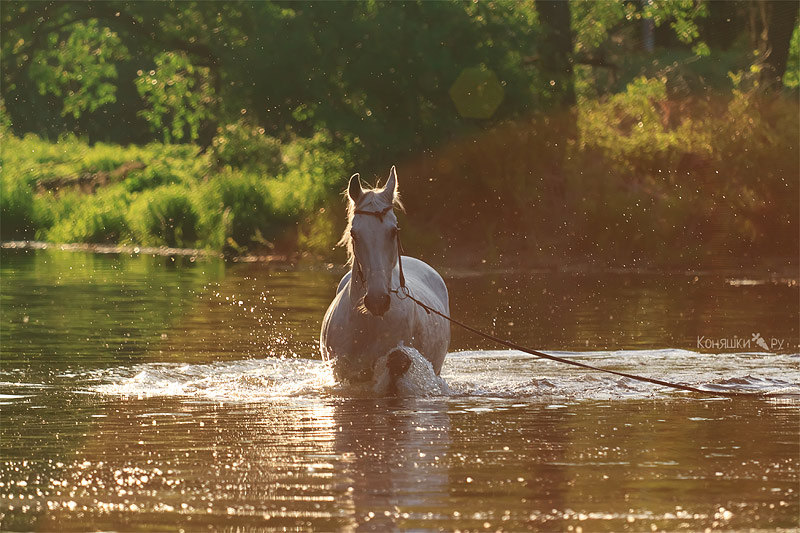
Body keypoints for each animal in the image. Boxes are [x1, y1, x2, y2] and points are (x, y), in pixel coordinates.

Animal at [318, 164, 450, 388]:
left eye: (393, 231)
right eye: (354, 233)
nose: (377, 300)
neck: (369, 324)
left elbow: (397, 360)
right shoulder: (343, 374)